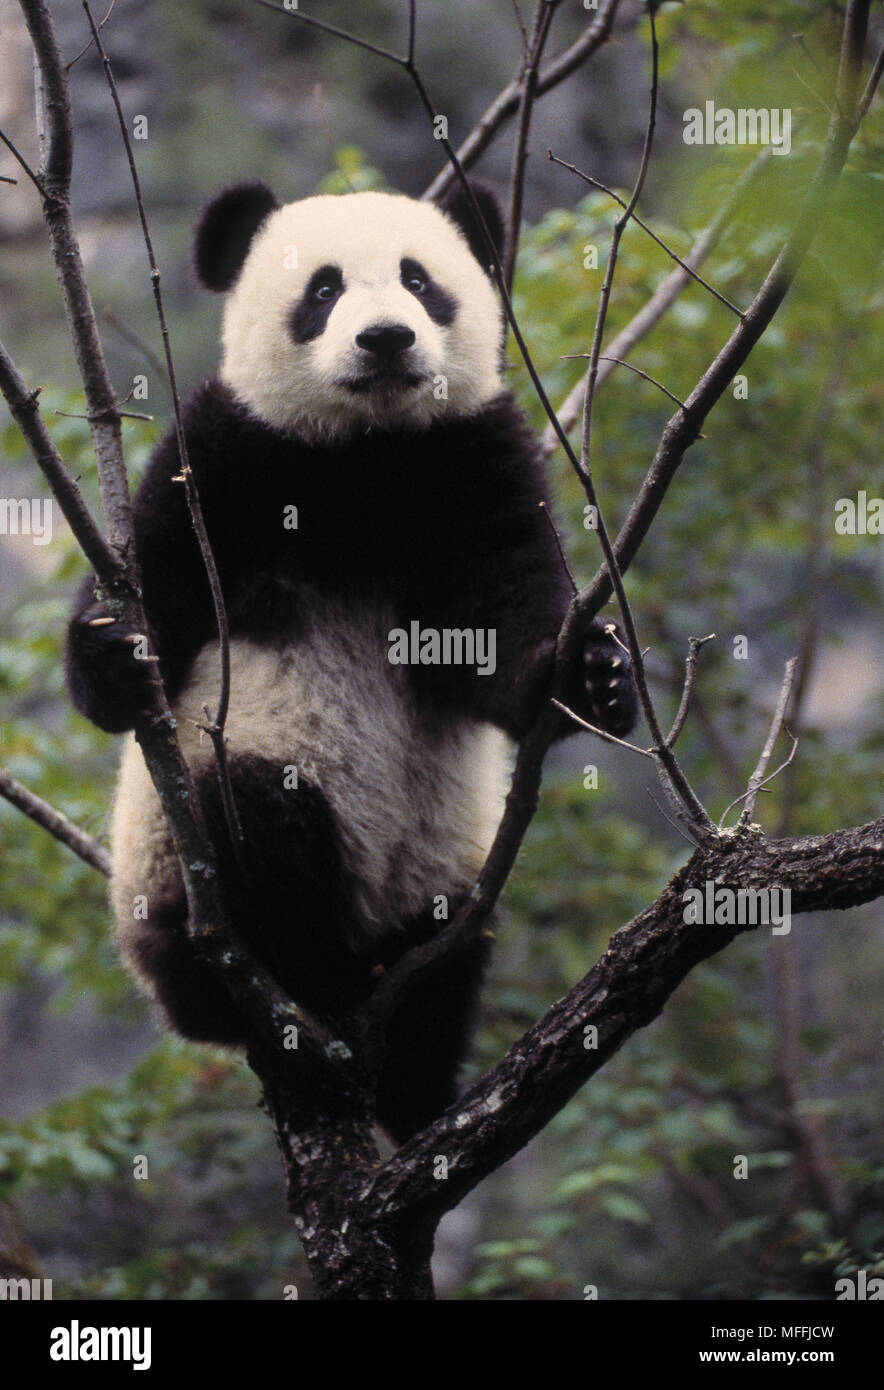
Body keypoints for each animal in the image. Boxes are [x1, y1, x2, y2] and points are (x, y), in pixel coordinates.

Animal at [65, 179, 637, 1143]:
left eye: (419, 281)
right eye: (324, 289)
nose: (386, 339)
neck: (367, 454)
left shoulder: (473, 458)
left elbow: (498, 626)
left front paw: (590, 674)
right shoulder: (220, 457)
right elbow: (154, 588)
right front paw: (113, 652)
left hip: (444, 879)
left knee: (450, 966)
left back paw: (417, 1094)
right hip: (181, 857)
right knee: (255, 814)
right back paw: (302, 983)